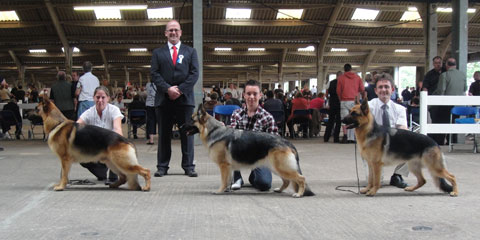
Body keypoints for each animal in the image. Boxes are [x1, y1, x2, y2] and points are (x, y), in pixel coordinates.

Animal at [182, 104, 314, 198]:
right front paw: (226, 190)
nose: (181, 127)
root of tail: (287, 142)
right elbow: (228, 180)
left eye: (191, 120)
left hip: (281, 167)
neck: (213, 131)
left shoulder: (224, 166)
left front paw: (219, 191)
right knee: (287, 181)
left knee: (301, 178)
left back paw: (299, 194)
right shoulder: (228, 167)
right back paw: (279, 190)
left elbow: (223, 181)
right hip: (276, 168)